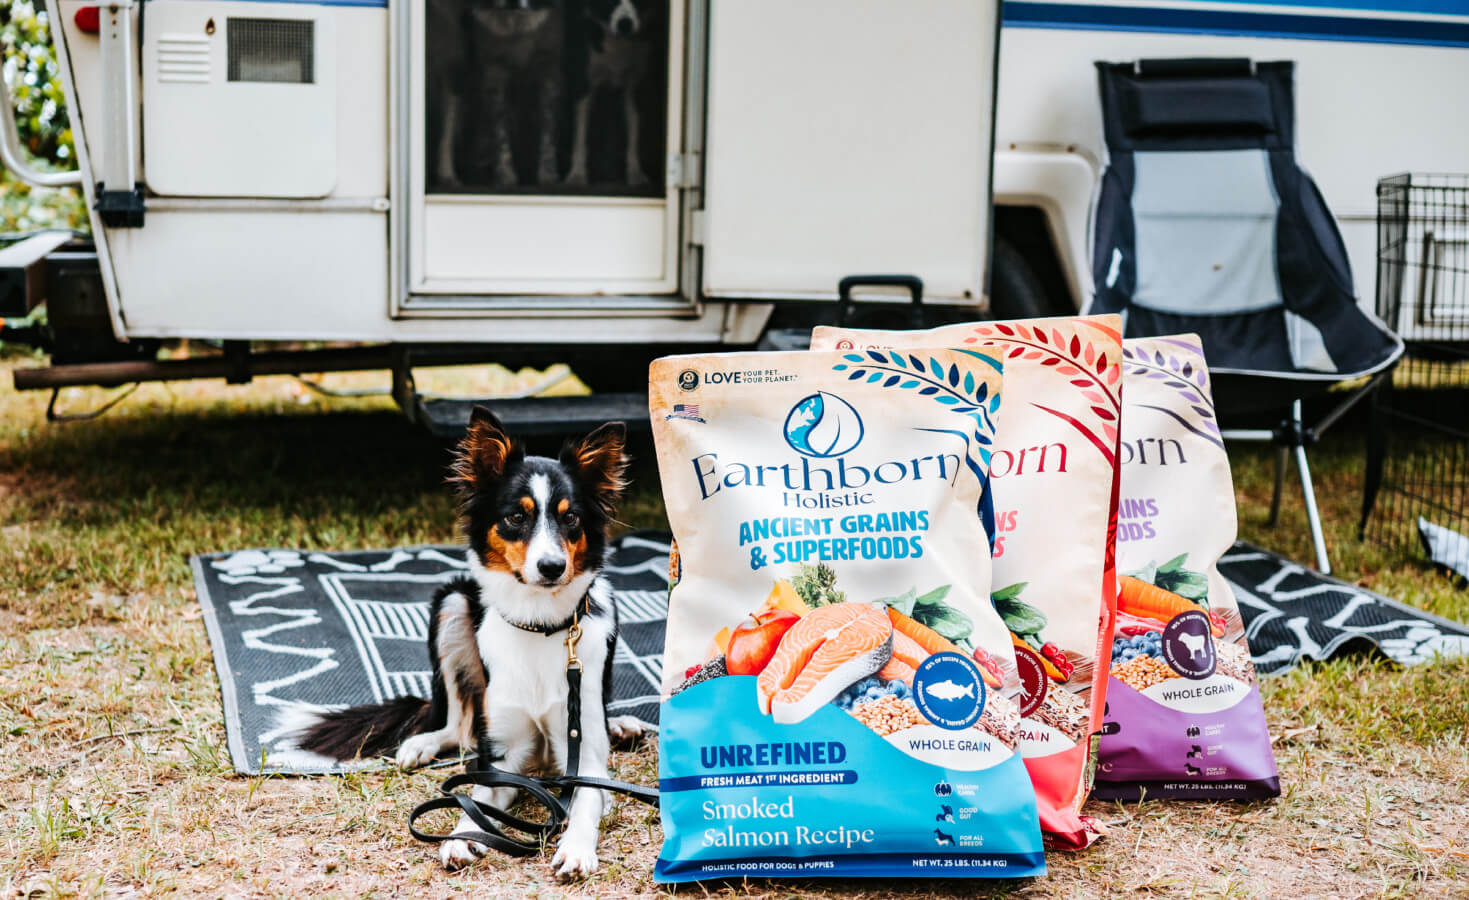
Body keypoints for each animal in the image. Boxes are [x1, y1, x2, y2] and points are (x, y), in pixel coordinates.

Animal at [289, 408, 640, 875]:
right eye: (516, 517)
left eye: (571, 519)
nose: (551, 567)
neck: (540, 624)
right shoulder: (503, 756)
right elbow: (477, 797)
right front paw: (463, 834)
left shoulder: (582, 756)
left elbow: (584, 799)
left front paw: (577, 847)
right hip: (451, 605)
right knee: (458, 723)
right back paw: (421, 743)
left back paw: (623, 724)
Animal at [564, 0, 652, 185]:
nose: (625, 24)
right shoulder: (583, 84)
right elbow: (580, 136)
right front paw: (577, 175)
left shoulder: (636, 86)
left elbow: (634, 134)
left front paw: (635, 173)